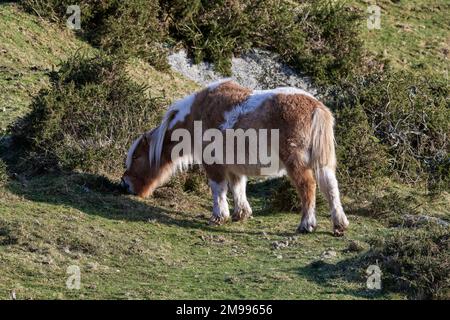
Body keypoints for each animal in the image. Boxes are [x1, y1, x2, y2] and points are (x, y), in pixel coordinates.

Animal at [120, 79, 348, 236]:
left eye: (136, 157)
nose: (125, 184)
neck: (195, 116)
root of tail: (316, 107)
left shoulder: (213, 163)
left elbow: (218, 189)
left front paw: (219, 217)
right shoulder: (235, 166)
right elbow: (238, 188)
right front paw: (241, 214)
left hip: (297, 162)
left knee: (308, 186)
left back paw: (306, 224)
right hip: (323, 162)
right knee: (330, 188)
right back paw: (339, 225)